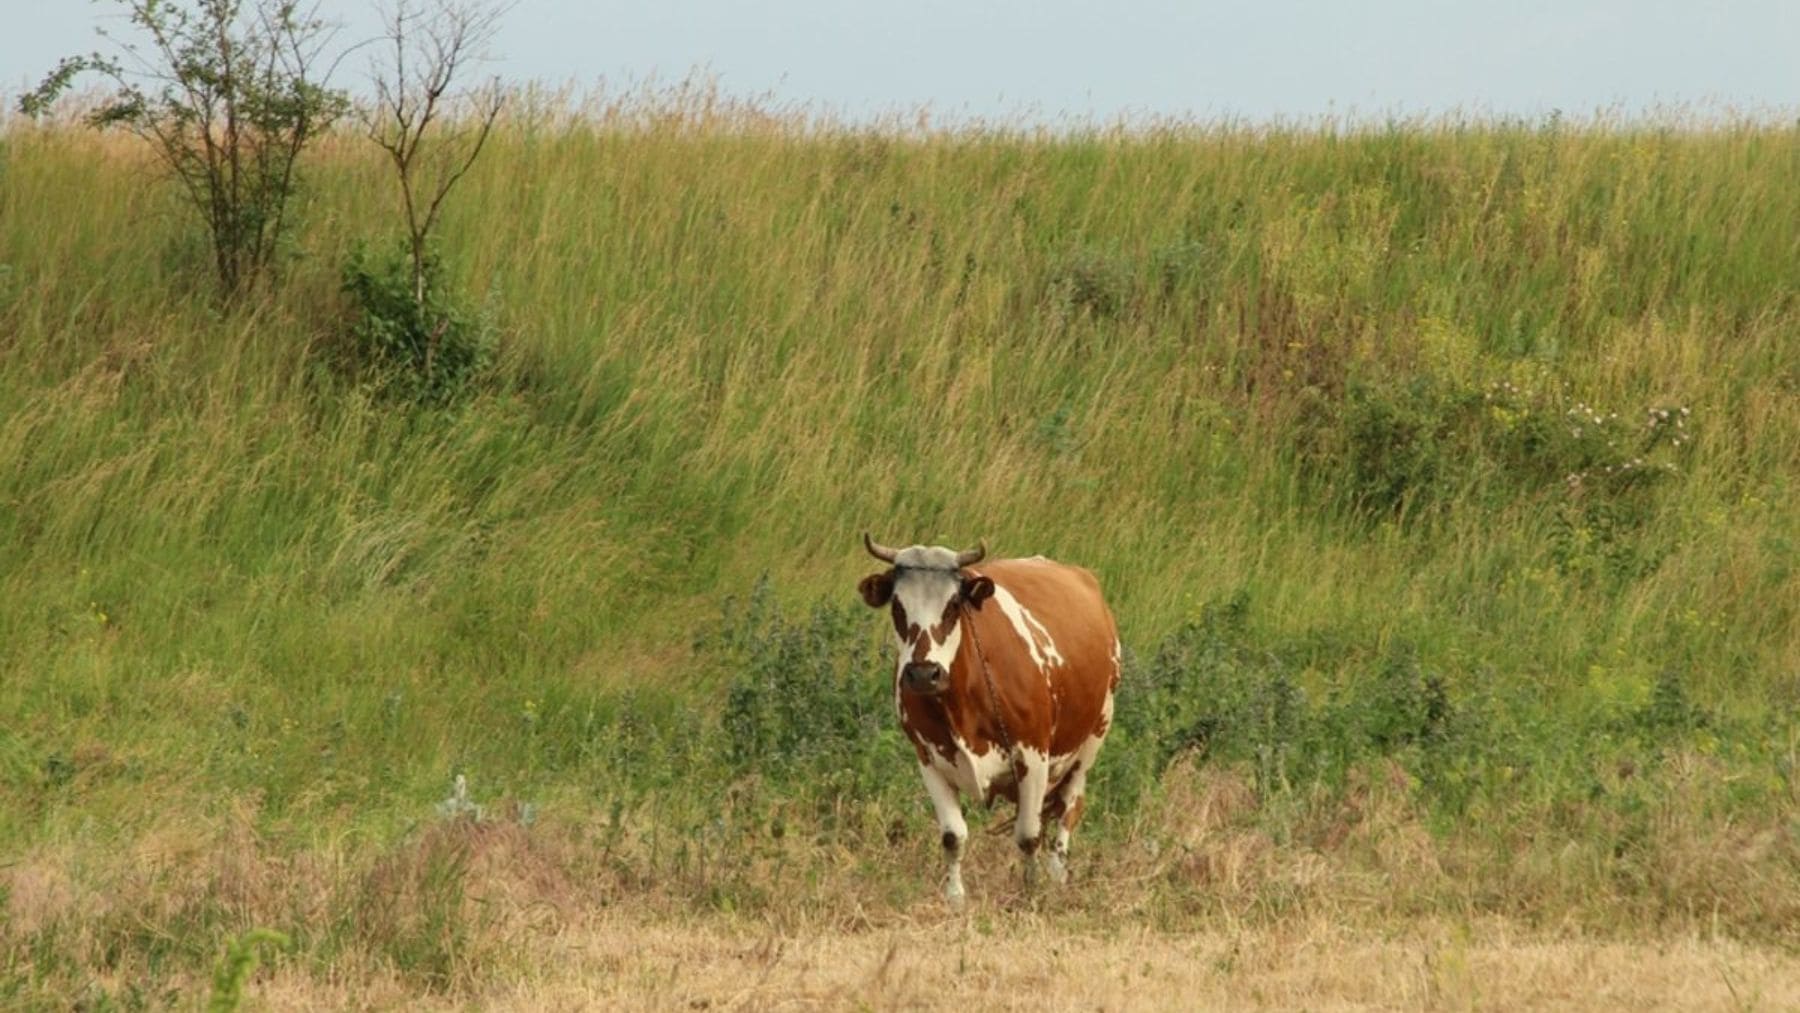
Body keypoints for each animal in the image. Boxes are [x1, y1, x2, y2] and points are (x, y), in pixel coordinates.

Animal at [857, 534, 1121, 905]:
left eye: (953, 605)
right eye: (897, 605)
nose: (923, 674)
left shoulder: (1033, 757)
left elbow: (1028, 835)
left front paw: (1031, 891)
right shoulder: (928, 759)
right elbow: (953, 836)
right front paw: (955, 897)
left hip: (1092, 738)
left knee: (1069, 807)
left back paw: (1057, 874)